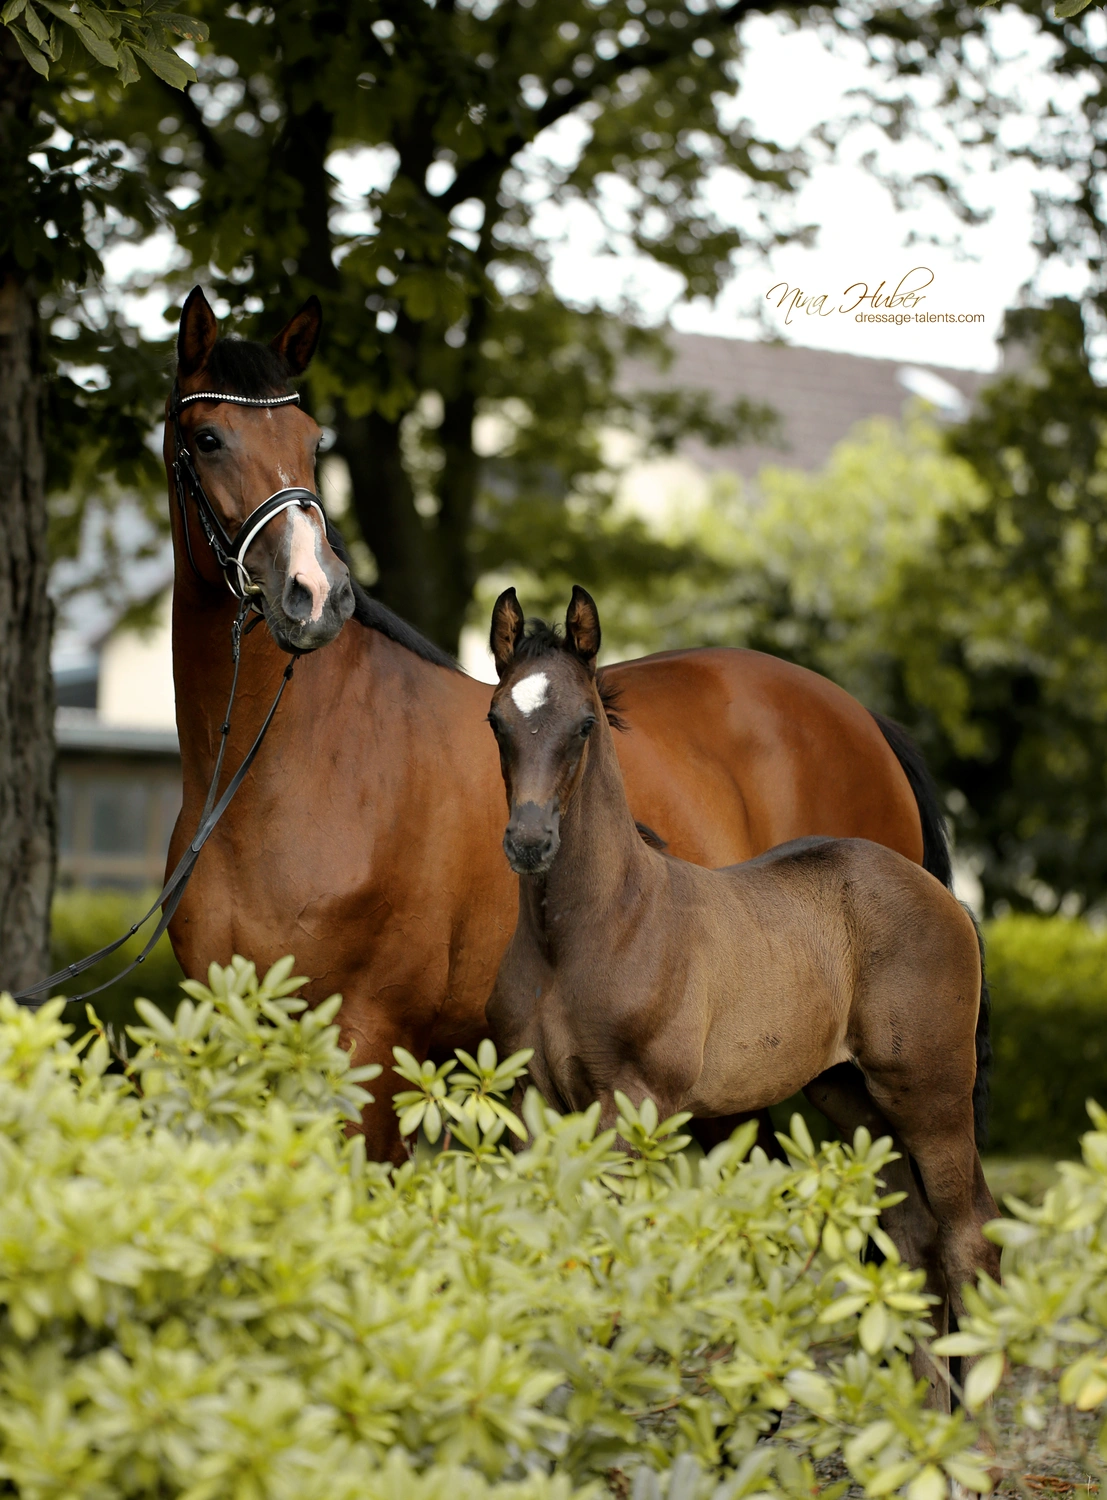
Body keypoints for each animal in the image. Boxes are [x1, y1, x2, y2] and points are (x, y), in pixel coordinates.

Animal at [163, 286, 987, 1164]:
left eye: (313, 440)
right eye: (207, 438)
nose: (314, 595)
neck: (288, 774)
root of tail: (860, 718)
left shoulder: (371, 1042)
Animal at [483, 585, 1000, 1401]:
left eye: (584, 723)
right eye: (498, 720)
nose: (529, 842)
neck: (588, 931)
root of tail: (944, 896)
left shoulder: (635, 1103)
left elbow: (611, 1251)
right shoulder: (530, 1103)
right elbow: (546, 1240)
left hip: (929, 1090)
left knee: (967, 1235)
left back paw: (967, 1418)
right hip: (849, 1095)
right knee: (914, 1233)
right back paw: (918, 1409)